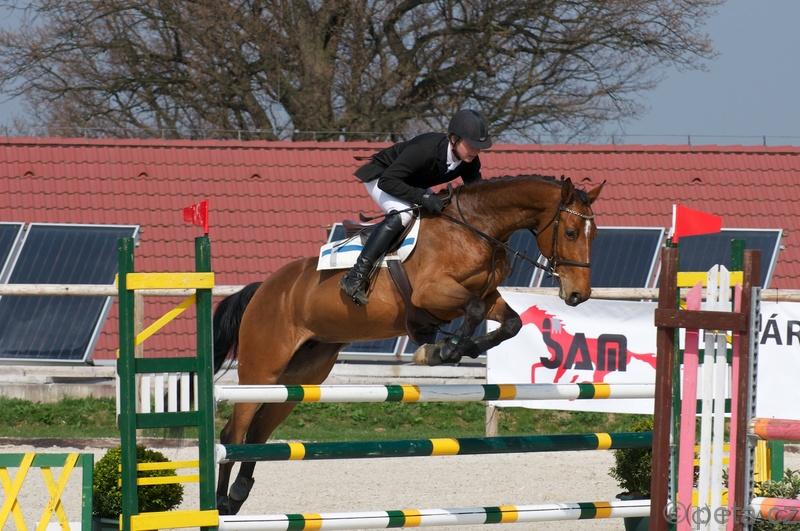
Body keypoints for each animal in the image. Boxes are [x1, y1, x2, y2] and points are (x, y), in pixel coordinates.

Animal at [212, 174, 603, 513]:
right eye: (571, 232)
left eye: (594, 234)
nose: (578, 295)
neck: (477, 230)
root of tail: (263, 288)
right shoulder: (433, 292)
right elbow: (473, 310)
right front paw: (442, 349)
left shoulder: (489, 295)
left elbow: (511, 322)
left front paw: (453, 348)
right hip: (263, 368)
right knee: (234, 432)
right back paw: (220, 503)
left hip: (302, 376)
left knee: (258, 432)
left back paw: (237, 494)